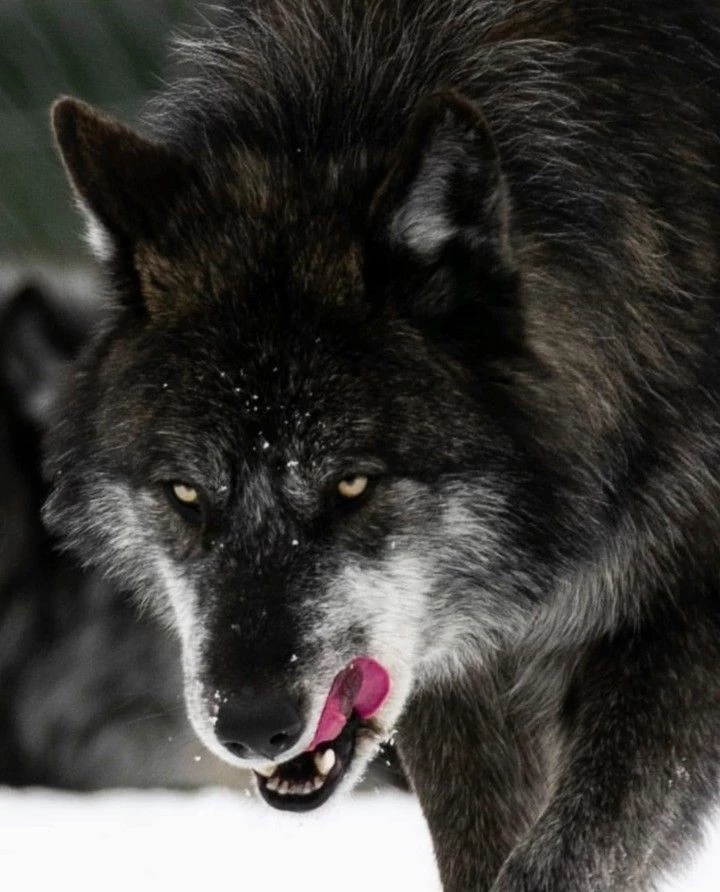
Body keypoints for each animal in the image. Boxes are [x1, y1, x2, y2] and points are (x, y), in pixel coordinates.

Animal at [46, 0, 720, 888]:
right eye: (185, 494)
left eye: (352, 486)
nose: (251, 727)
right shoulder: (458, 664)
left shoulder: (685, 625)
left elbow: (566, 855)